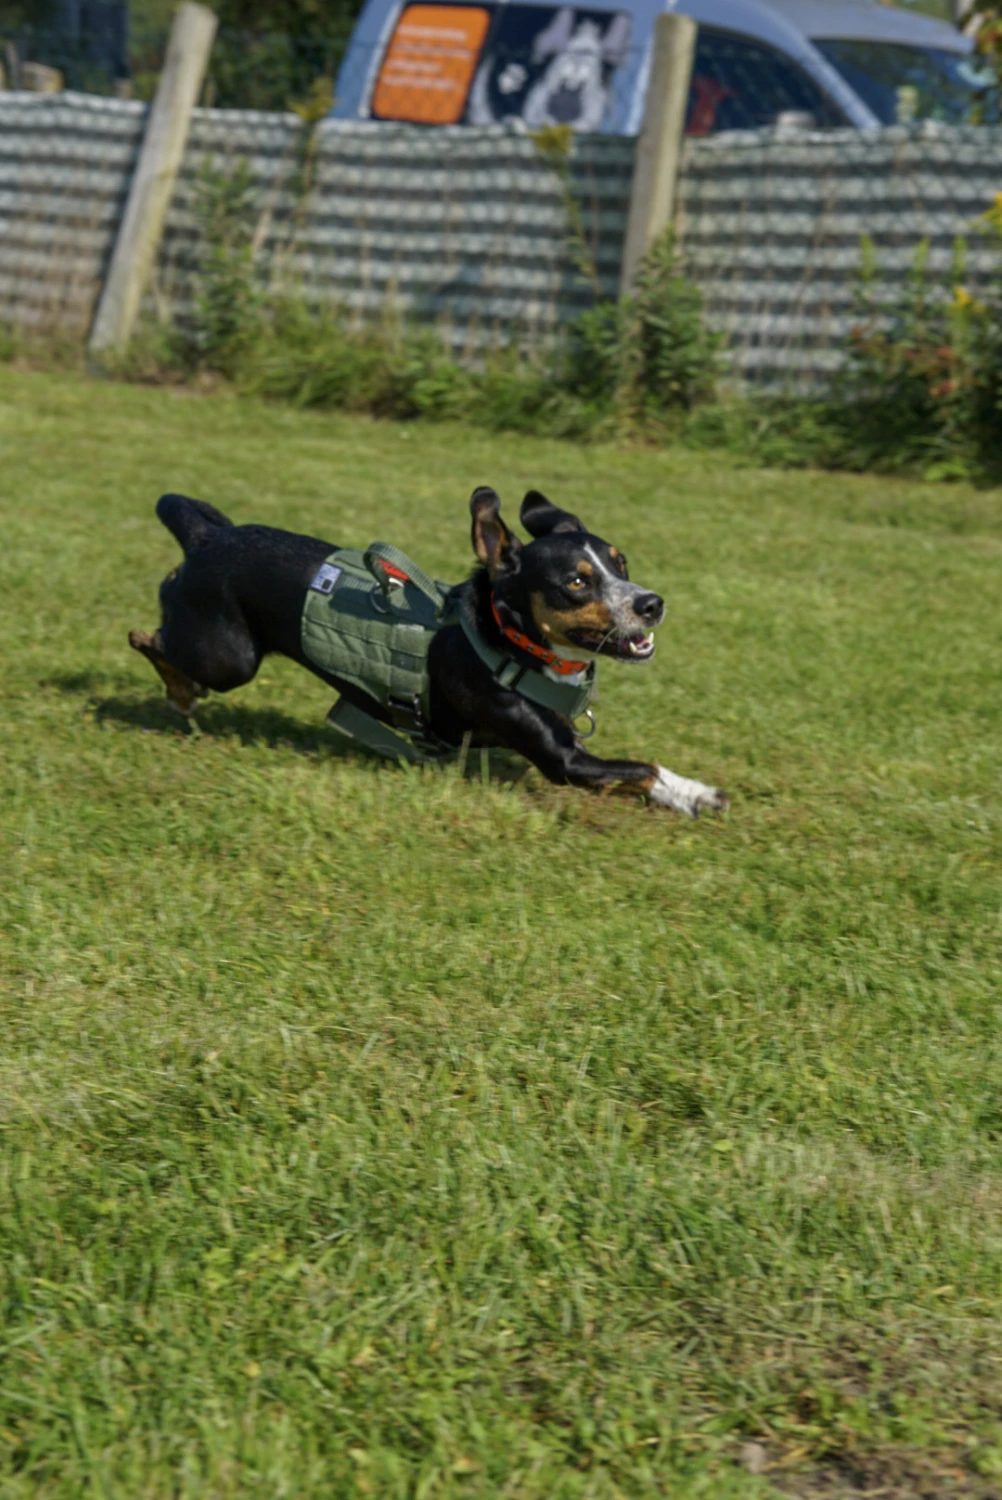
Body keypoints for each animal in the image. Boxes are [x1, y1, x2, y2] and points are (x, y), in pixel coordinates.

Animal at [131, 486, 729, 822]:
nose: (651, 604)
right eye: (577, 582)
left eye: (621, 563)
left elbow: (636, 773)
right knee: (149, 637)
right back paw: (179, 691)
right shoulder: (566, 762)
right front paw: (698, 793)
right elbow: (643, 767)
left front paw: (689, 797)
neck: (512, 643)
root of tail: (209, 537)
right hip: (228, 658)